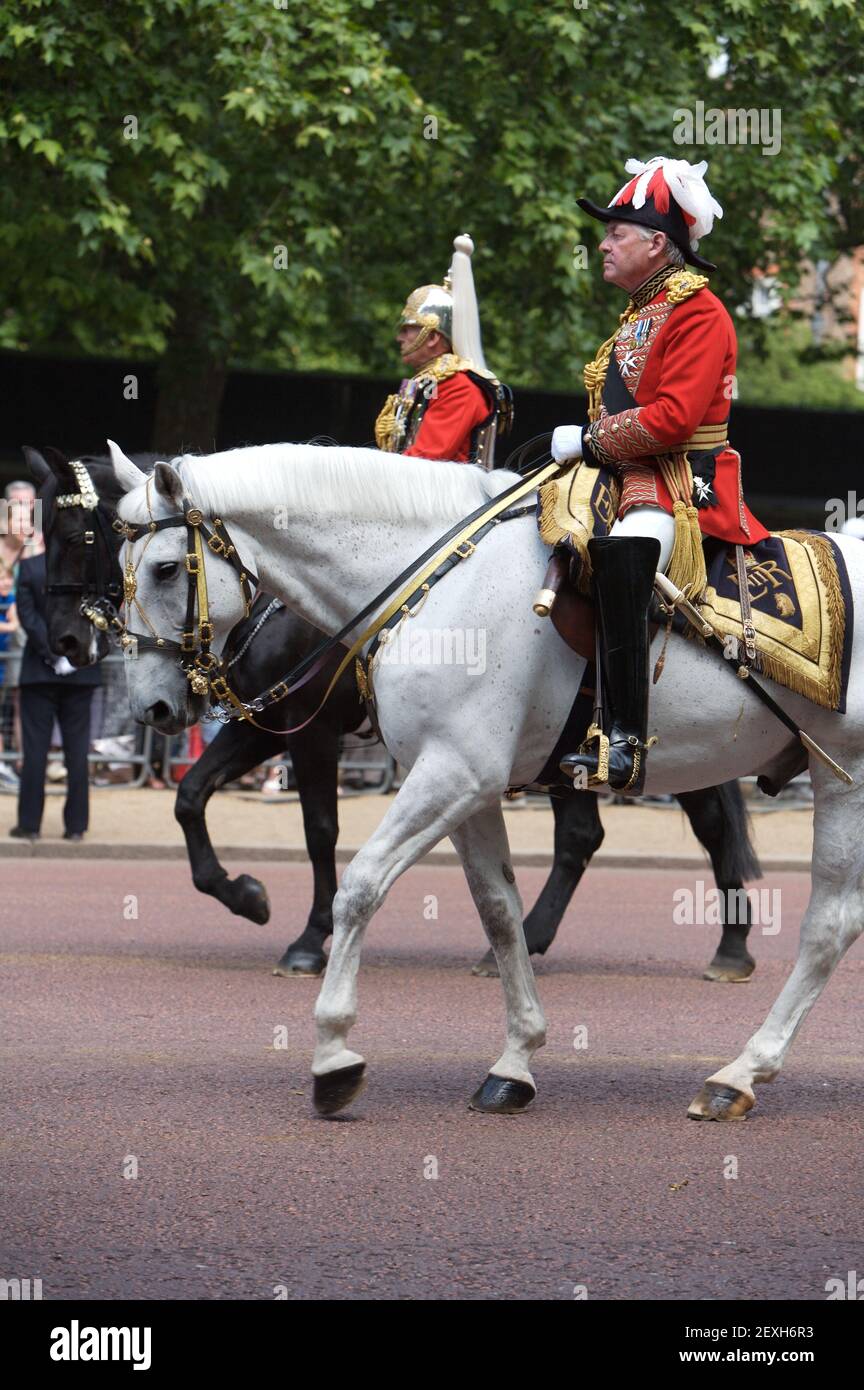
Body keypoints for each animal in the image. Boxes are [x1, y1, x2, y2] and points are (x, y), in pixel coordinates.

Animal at [25, 442, 755, 978]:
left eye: (79, 534)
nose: (65, 642)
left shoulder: (313, 731)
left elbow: (319, 827)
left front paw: (309, 937)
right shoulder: (266, 725)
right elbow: (190, 796)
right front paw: (246, 896)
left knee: (705, 821)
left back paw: (730, 947)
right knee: (588, 835)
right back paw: (534, 938)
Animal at [108, 442, 864, 1117]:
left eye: (167, 568)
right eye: (119, 570)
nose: (150, 707)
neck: (436, 583)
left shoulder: (443, 769)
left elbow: (358, 880)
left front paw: (332, 1053)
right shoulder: (460, 785)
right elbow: (496, 910)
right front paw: (515, 1061)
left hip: (842, 776)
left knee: (824, 922)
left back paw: (739, 1068)